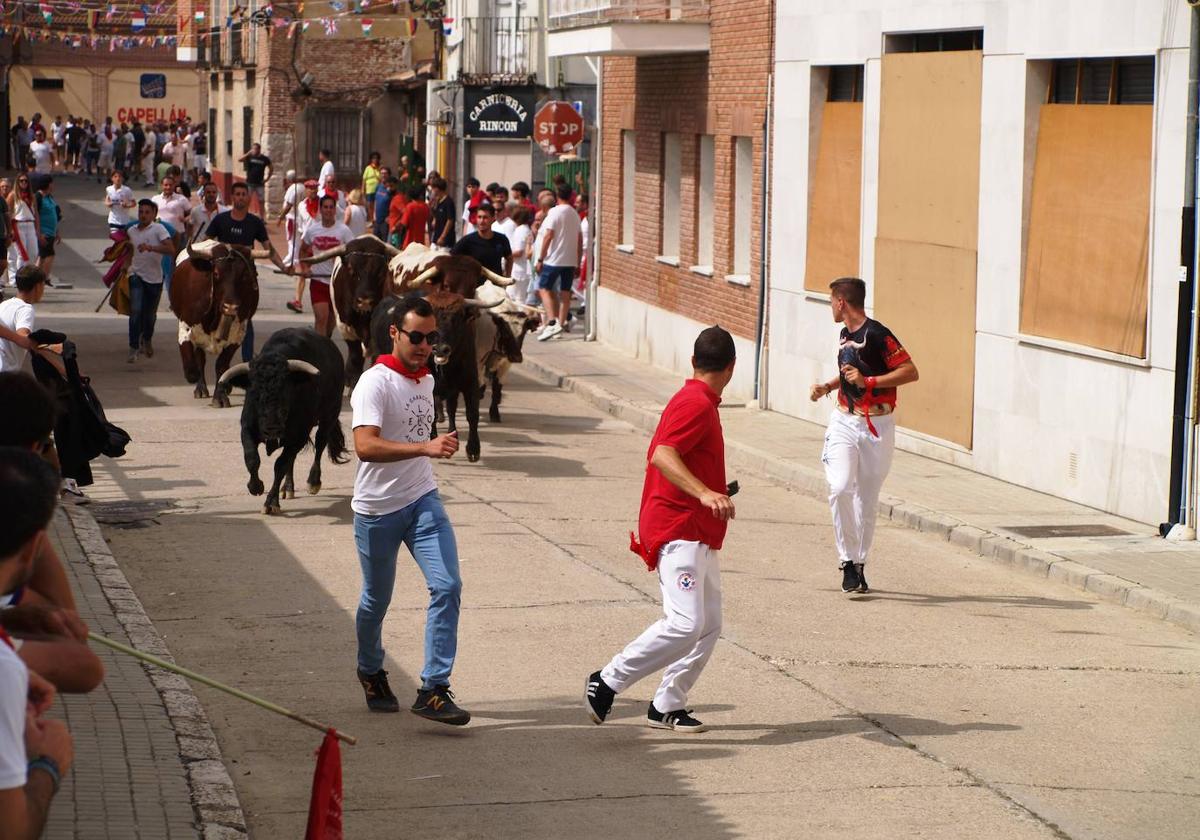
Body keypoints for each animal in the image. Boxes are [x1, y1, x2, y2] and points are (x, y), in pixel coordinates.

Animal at [166, 240, 262, 410]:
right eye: (216, 273)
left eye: (244, 276)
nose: (230, 307)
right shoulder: (186, 328)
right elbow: (192, 368)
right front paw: (198, 381)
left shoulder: (237, 336)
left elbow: (221, 365)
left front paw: (220, 396)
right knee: (200, 359)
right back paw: (201, 388)